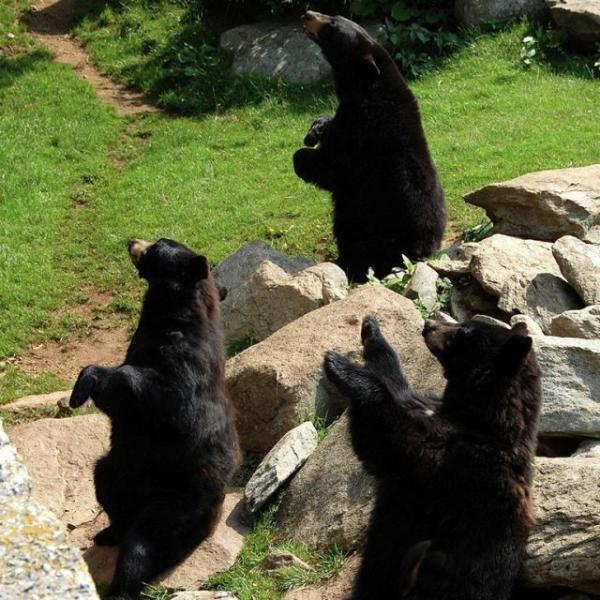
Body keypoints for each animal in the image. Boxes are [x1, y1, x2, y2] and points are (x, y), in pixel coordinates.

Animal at [70, 239, 239, 600]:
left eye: (158, 246)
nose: (132, 241)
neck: (169, 318)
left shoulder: (185, 365)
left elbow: (170, 401)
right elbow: (117, 397)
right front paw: (80, 391)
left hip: (174, 502)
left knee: (144, 546)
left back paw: (121, 586)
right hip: (118, 471)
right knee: (107, 489)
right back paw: (108, 533)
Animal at [296, 11, 446, 284]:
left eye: (332, 24)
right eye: (334, 15)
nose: (308, 13)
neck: (365, 87)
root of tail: (426, 251)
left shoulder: (366, 133)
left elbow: (336, 166)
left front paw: (303, 159)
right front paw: (314, 131)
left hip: (378, 232)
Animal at [324, 316, 544, 596]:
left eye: (465, 331)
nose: (429, 323)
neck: (480, 420)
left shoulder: (459, 464)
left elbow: (392, 442)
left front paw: (340, 366)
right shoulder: (428, 408)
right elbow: (400, 390)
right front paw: (371, 331)